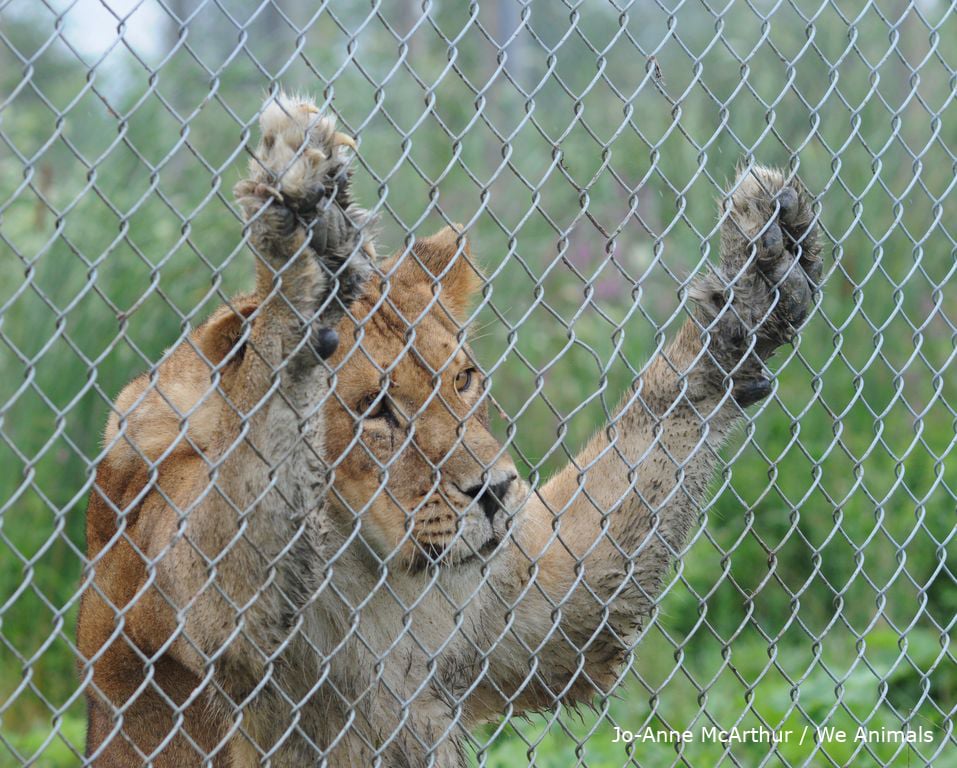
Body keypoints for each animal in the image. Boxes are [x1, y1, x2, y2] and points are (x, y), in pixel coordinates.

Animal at [76, 90, 820, 760]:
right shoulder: (209, 613)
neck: (368, 570)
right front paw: (301, 244)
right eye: (376, 411)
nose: (496, 492)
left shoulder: (531, 625)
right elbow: (257, 430)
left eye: (463, 379)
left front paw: (756, 282)